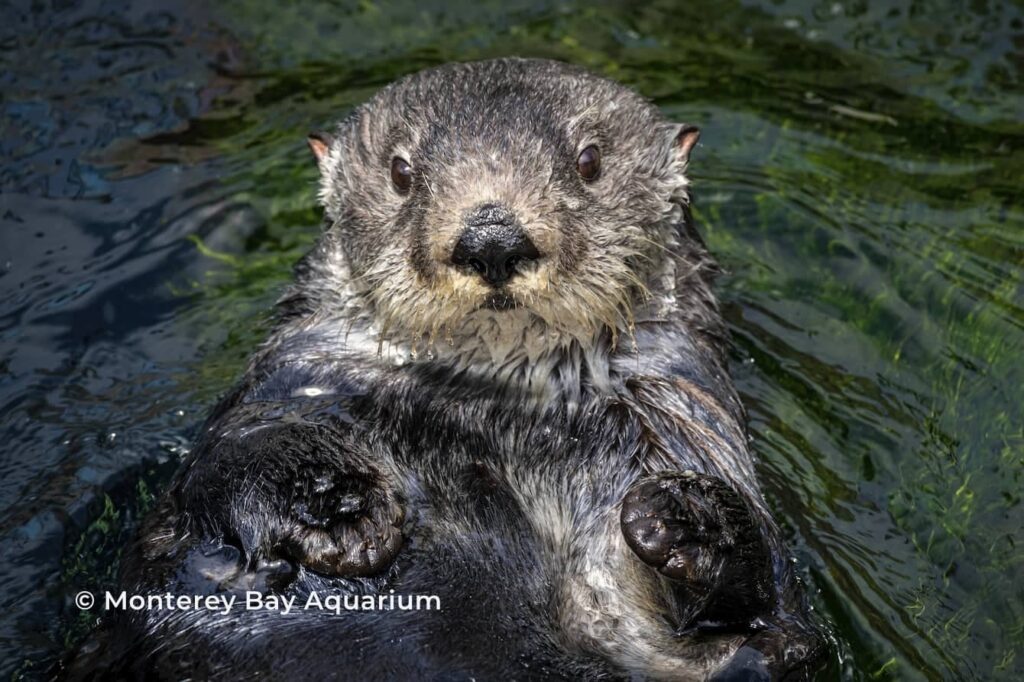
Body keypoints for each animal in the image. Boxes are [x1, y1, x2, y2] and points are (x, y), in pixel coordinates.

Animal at [66, 58, 828, 680]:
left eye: (589, 162)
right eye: (402, 173)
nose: (491, 237)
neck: (495, 408)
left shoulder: (680, 425)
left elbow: (761, 623)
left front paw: (690, 519)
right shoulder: (295, 380)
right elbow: (231, 458)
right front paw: (335, 505)